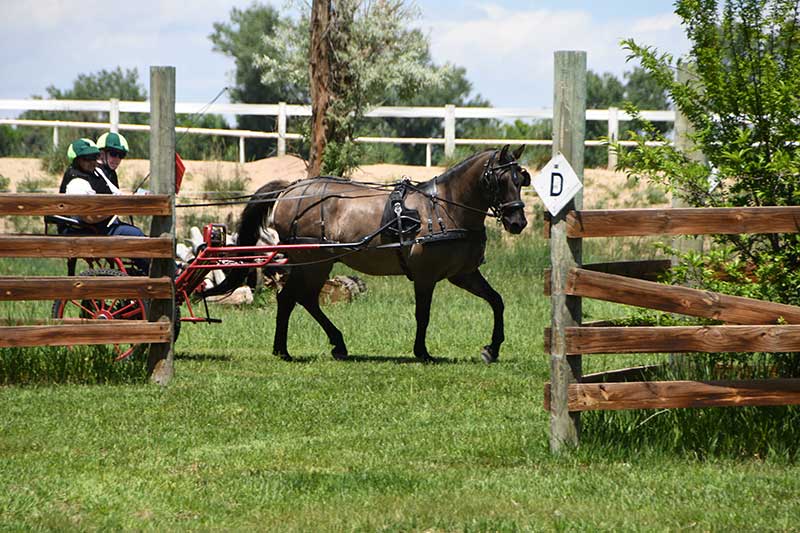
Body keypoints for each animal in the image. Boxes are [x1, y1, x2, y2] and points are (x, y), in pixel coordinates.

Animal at [210, 145, 529, 363]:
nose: (517, 222)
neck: (445, 208)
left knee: (301, 299)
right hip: (311, 261)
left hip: (319, 263)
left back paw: (316, 346)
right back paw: (291, 349)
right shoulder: (425, 276)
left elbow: (497, 301)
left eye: (520, 179)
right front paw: (422, 352)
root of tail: (291, 189)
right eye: (499, 181)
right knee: (293, 298)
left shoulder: (463, 274)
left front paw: (492, 349)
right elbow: (423, 314)